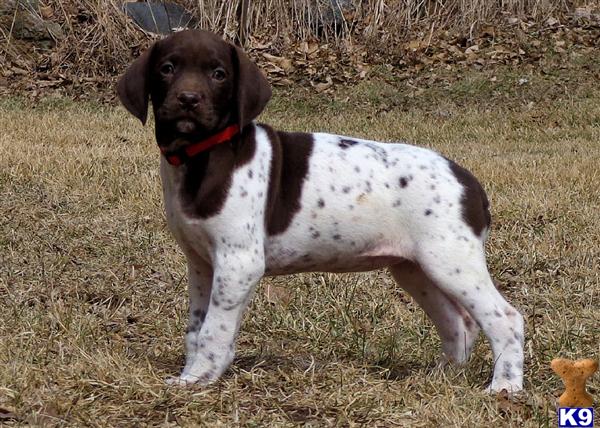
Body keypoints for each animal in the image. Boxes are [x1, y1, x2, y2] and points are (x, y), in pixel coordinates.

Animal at [118, 28, 524, 392]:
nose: (188, 99)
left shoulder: (239, 263)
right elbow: (197, 328)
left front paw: (200, 378)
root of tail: (469, 182)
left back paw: (505, 386)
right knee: (457, 322)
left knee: (506, 319)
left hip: (451, 260)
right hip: (415, 268)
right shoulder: (202, 264)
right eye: (167, 68)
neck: (200, 156)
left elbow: (213, 330)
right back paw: (441, 377)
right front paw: (197, 373)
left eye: (219, 74)